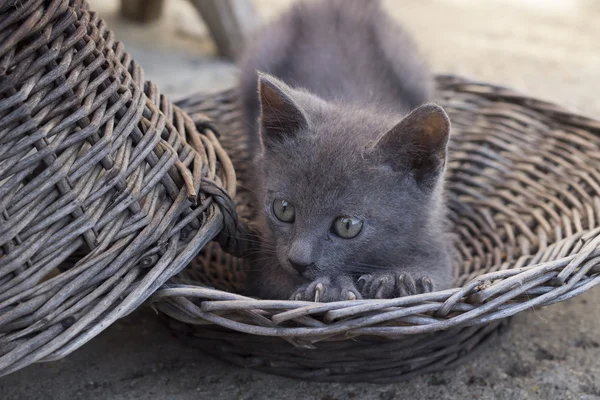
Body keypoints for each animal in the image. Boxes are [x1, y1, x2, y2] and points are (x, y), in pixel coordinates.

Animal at [237, 0, 452, 300]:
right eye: (283, 209)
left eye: (347, 225)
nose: (299, 261)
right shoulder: (265, 259)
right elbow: (276, 282)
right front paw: (332, 287)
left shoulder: (436, 245)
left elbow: (438, 274)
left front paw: (398, 279)